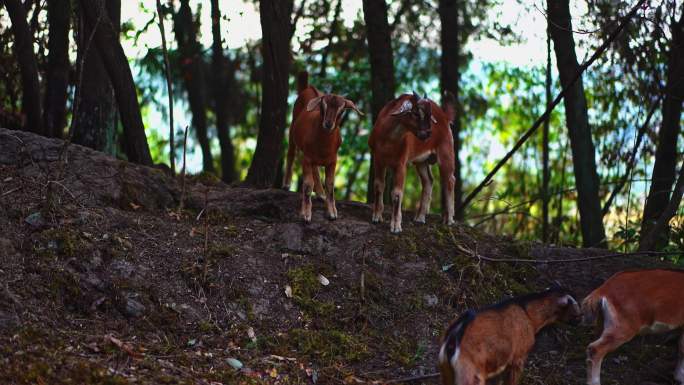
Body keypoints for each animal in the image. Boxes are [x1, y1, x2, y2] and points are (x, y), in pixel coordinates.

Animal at [284, 71, 364, 222]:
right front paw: (305, 214)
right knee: (291, 152)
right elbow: (307, 185)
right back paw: (286, 184)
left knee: (315, 169)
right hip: (292, 127)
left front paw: (332, 212)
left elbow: (330, 185)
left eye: (341, 110)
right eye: (323, 105)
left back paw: (320, 194)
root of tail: (308, 88)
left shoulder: (333, 160)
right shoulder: (306, 158)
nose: (328, 124)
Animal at [366, 91, 456, 232]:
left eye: (430, 114)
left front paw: (396, 226)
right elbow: (378, 186)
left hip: (446, 152)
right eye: (416, 113)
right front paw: (377, 217)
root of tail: (445, 116)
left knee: (449, 180)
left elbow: (397, 193)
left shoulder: (401, 164)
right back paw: (420, 217)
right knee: (428, 181)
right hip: (421, 161)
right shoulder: (378, 160)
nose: (428, 133)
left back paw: (449, 219)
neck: (388, 140)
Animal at [438, 284, 584, 382]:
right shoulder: (518, 358)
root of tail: (453, 340)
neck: (529, 315)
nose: (581, 318)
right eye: (575, 305)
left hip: (447, 371)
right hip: (470, 374)